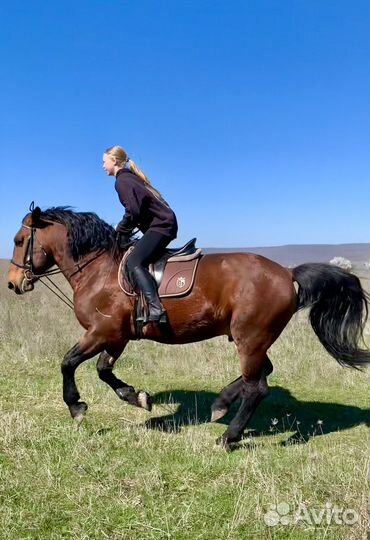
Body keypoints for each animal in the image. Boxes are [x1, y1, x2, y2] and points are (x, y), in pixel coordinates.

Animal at [6, 205, 370, 446]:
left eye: (19, 239)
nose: (12, 283)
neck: (98, 269)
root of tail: (287, 273)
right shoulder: (117, 336)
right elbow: (103, 370)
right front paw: (137, 397)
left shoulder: (101, 332)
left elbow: (68, 363)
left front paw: (76, 406)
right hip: (252, 337)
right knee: (262, 374)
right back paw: (221, 404)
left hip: (250, 337)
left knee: (258, 387)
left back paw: (228, 437)